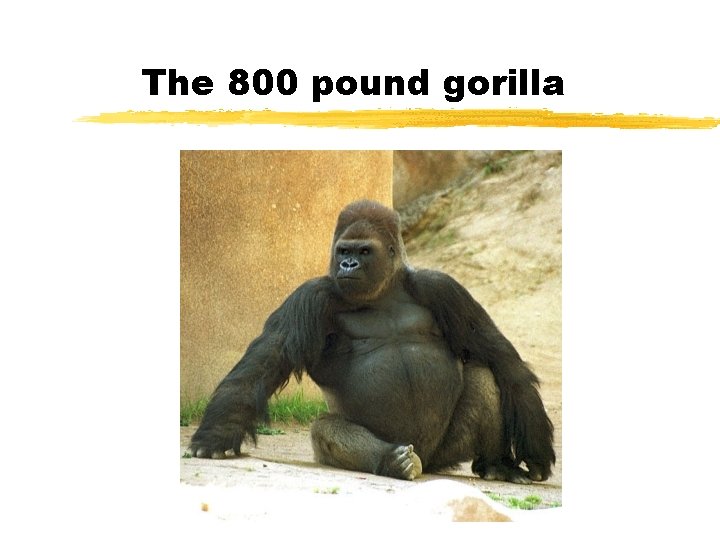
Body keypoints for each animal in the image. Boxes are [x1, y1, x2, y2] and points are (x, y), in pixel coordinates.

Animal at [189, 200, 555, 483]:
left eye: (364, 251)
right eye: (343, 251)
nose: (348, 264)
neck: (384, 292)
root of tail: (426, 461)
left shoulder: (443, 288)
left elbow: (500, 357)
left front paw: (536, 444)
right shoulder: (312, 296)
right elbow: (265, 360)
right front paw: (216, 434)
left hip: (445, 452)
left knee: (484, 375)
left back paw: (496, 464)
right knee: (325, 428)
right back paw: (392, 461)